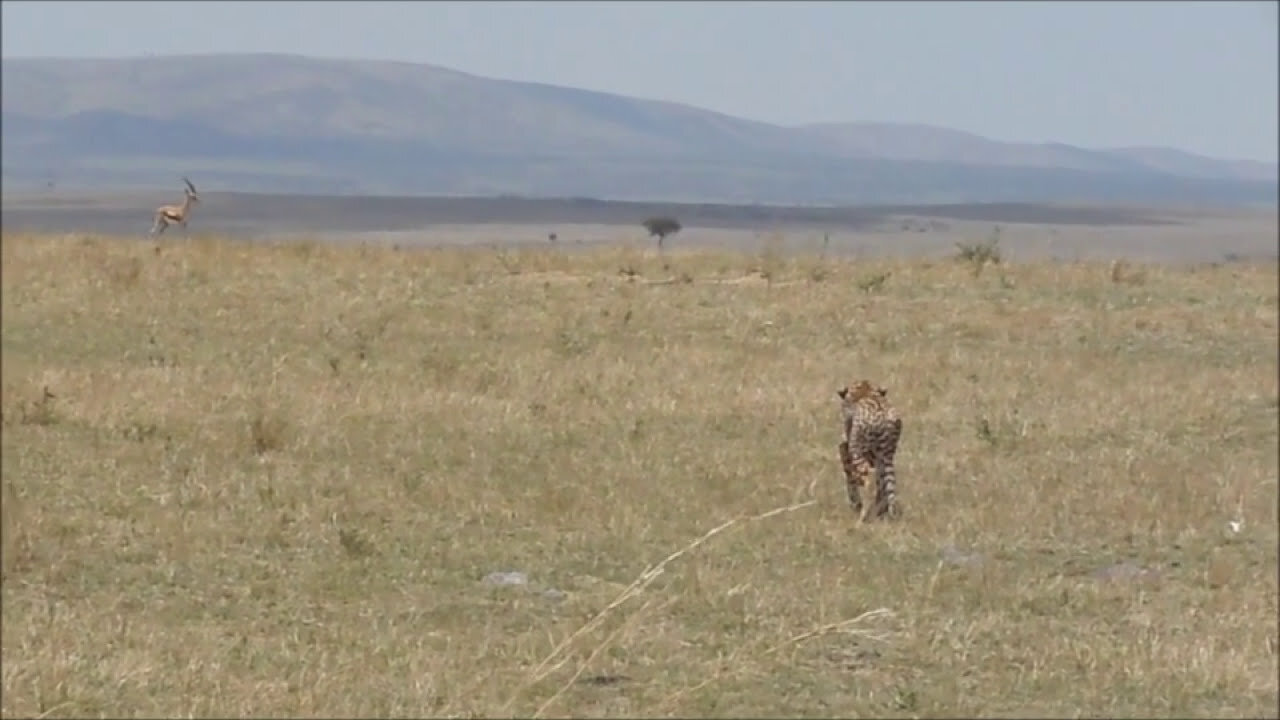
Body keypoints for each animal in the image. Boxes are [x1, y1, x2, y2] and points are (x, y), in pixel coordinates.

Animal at [839, 379, 901, 517]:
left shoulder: (849, 449)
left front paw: (855, 503)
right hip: (886, 456)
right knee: (888, 483)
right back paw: (889, 512)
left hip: (859, 453)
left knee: (871, 478)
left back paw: (865, 513)